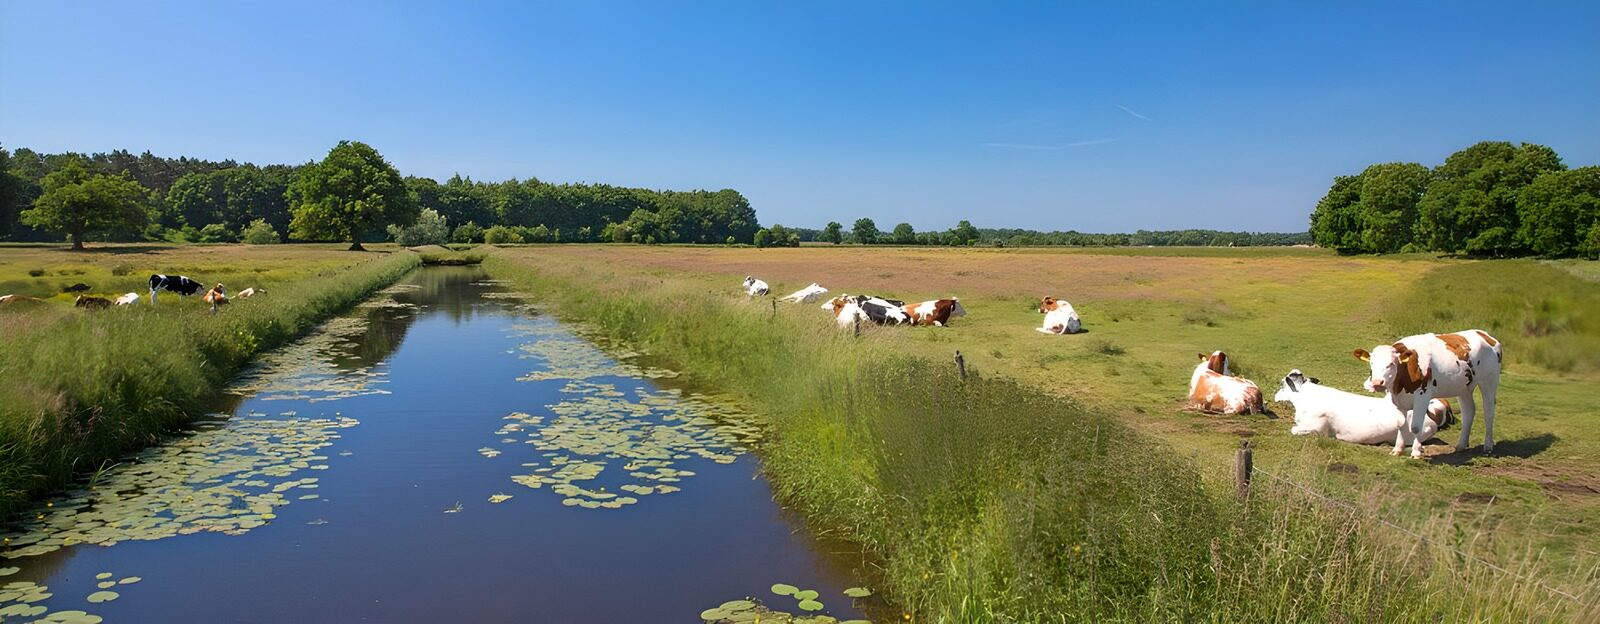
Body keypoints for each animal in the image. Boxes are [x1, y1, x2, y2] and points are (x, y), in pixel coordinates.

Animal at [1354, 329, 1502, 458]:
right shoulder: (1399, 399)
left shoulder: (1422, 396)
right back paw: (1461, 445)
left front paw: (1416, 452)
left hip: (1489, 381)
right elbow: (1401, 424)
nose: (1377, 383)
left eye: (1391, 364)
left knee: (1489, 412)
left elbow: (1415, 427)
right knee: (1468, 412)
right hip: (1464, 388)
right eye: (1371, 363)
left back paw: (1488, 446)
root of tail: (1484, 334)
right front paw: (1397, 450)